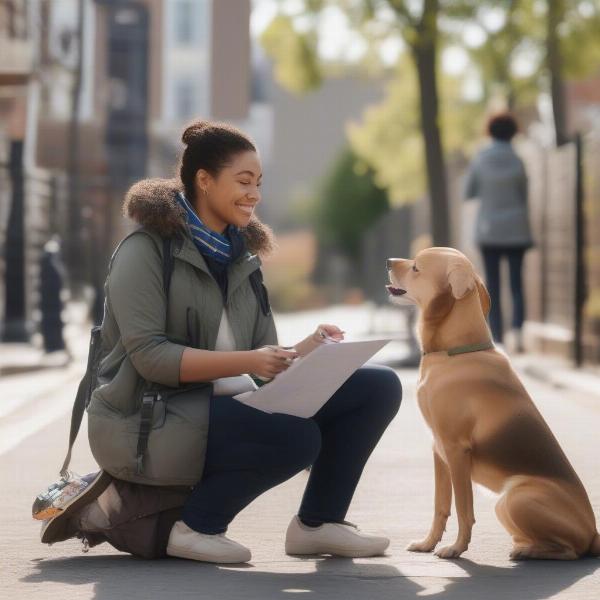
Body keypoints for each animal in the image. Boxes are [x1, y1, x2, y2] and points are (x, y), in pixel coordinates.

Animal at [386, 246, 596, 560]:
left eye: (416, 268)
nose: (388, 261)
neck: (454, 353)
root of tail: (594, 534)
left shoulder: (456, 451)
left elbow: (463, 509)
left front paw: (456, 548)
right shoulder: (439, 451)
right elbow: (440, 507)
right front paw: (427, 543)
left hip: (513, 497)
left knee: (569, 551)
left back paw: (528, 552)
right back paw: (525, 545)